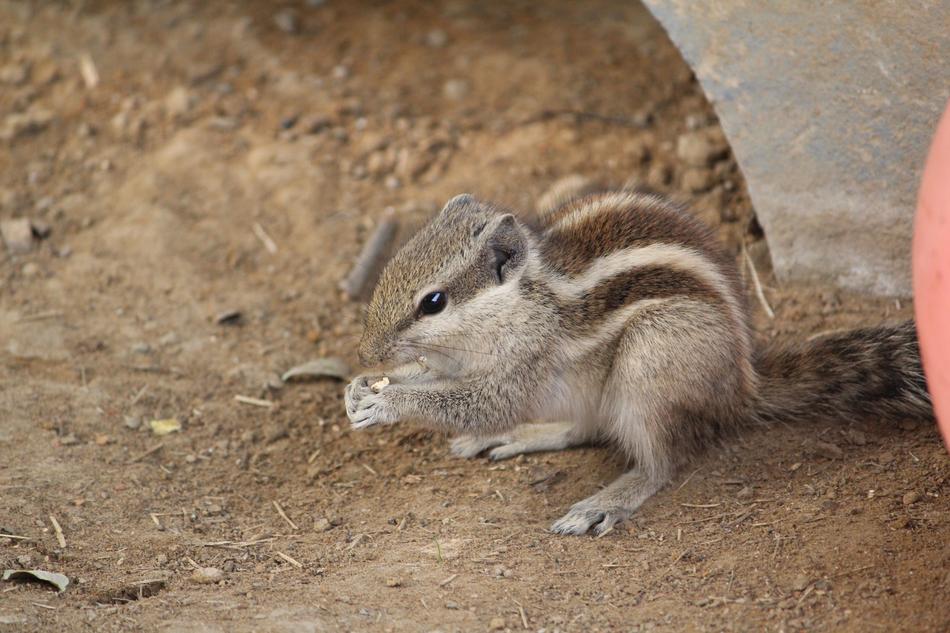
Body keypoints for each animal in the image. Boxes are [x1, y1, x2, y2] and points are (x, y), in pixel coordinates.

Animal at [344, 191, 933, 536]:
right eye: (392, 266)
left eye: (434, 302)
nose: (367, 352)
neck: (523, 300)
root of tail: (743, 387)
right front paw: (361, 386)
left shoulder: (525, 362)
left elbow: (481, 403)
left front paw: (387, 401)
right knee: (584, 429)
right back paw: (526, 434)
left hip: (651, 361)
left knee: (659, 462)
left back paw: (607, 500)